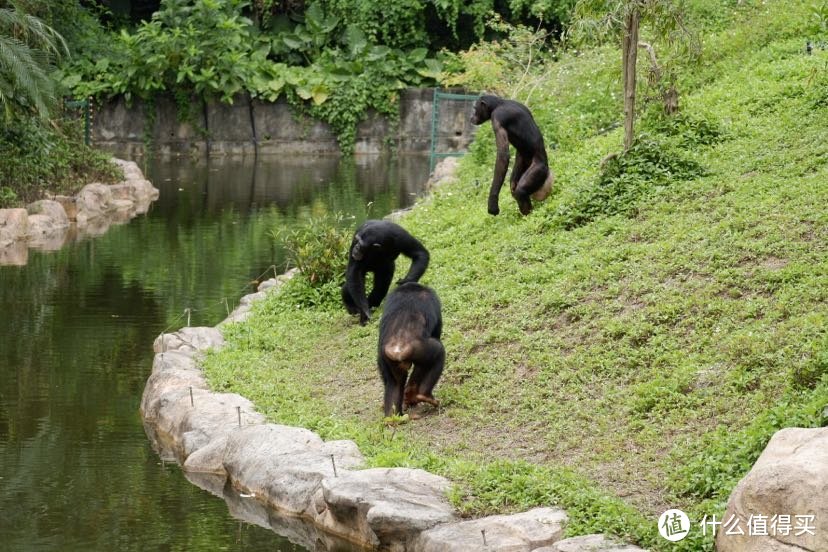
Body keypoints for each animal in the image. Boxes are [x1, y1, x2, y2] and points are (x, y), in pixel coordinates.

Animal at [376, 282, 444, 416]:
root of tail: (397, 348)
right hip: (418, 348)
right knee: (439, 351)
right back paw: (425, 395)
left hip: (385, 358)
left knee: (394, 384)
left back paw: (393, 417)